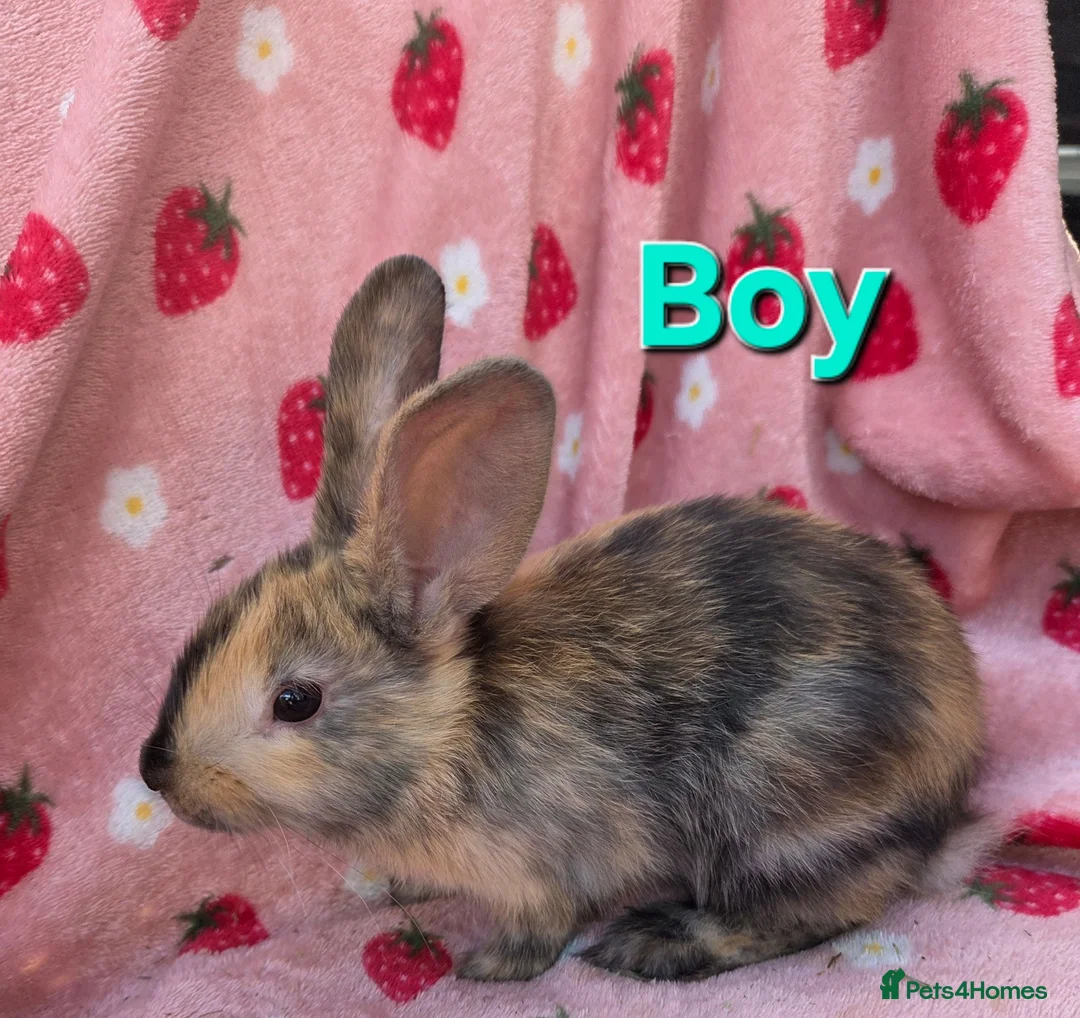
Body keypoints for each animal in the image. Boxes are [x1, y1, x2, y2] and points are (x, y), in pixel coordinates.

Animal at [140, 253, 991, 984]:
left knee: (822, 909)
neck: (448, 732)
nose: (158, 774)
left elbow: (541, 928)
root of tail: (952, 785)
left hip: (780, 812)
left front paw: (485, 967)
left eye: (296, 701)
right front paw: (406, 894)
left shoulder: (540, 869)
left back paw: (655, 942)